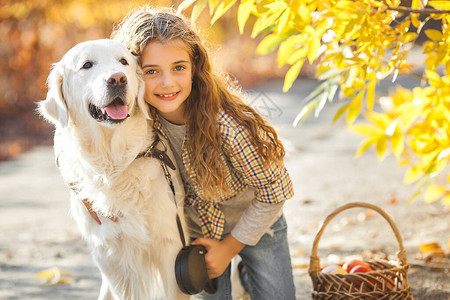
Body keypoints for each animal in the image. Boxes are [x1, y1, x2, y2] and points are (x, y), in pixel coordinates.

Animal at [36, 39, 188, 300]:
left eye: (123, 61)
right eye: (87, 65)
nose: (117, 79)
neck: (113, 163)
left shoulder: (171, 247)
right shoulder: (112, 258)